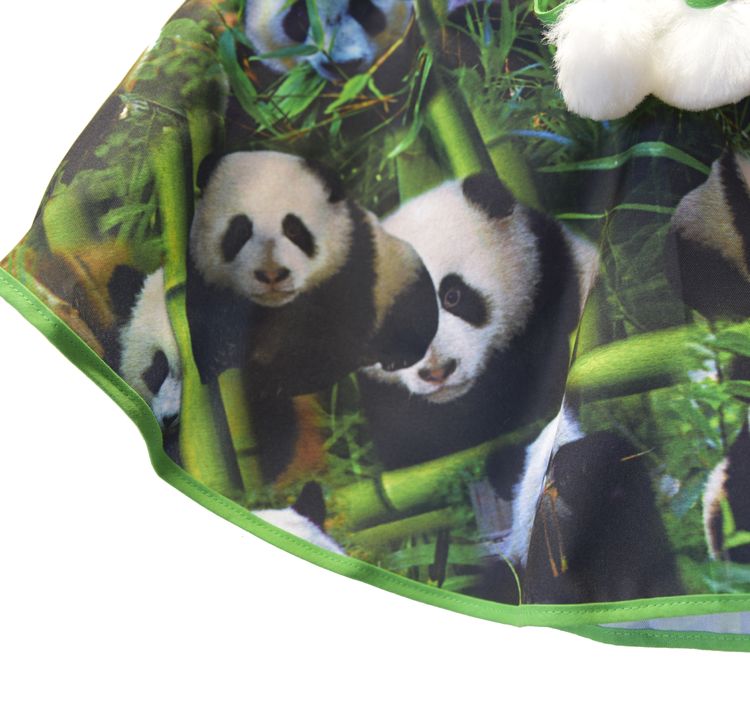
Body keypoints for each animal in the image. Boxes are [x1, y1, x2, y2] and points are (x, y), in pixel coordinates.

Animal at [186, 150, 438, 480]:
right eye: (240, 230)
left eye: (294, 229)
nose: (272, 274)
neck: (274, 307)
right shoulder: (206, 286)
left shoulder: (349, 270)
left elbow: (329, 343)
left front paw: (271, 381)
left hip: (398, 275)